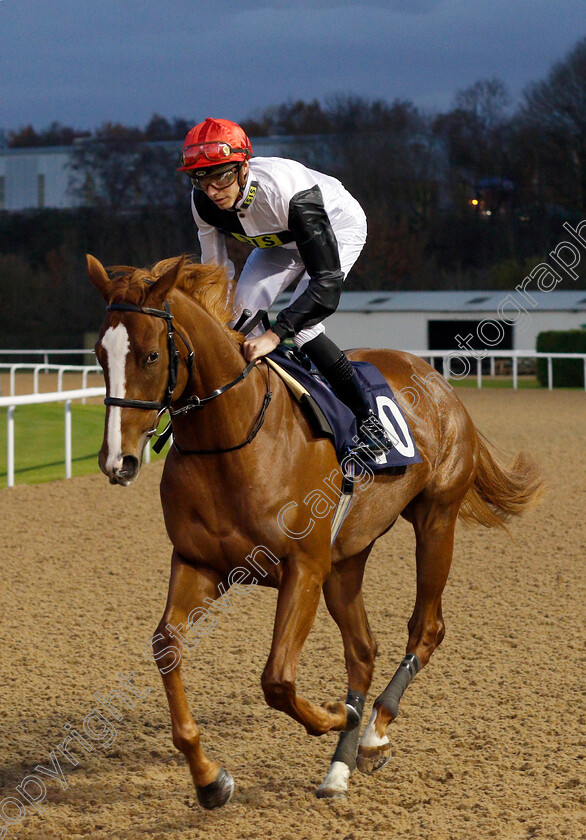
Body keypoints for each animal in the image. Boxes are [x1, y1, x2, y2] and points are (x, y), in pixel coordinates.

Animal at [85, 254, 540, 808]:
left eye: (151, 355)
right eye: (100, 355)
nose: (118, 461)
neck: (233, 439)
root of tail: (433, 377)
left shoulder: (302, 566)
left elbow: (277, 679)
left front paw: (335, 716)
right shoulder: (199, 562)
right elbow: (166, 646)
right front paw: (210, 778)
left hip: (436, 519)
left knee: (426, 628)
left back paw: (373, 732)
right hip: (347, 560)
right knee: (362, 650)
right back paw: (339, 768)